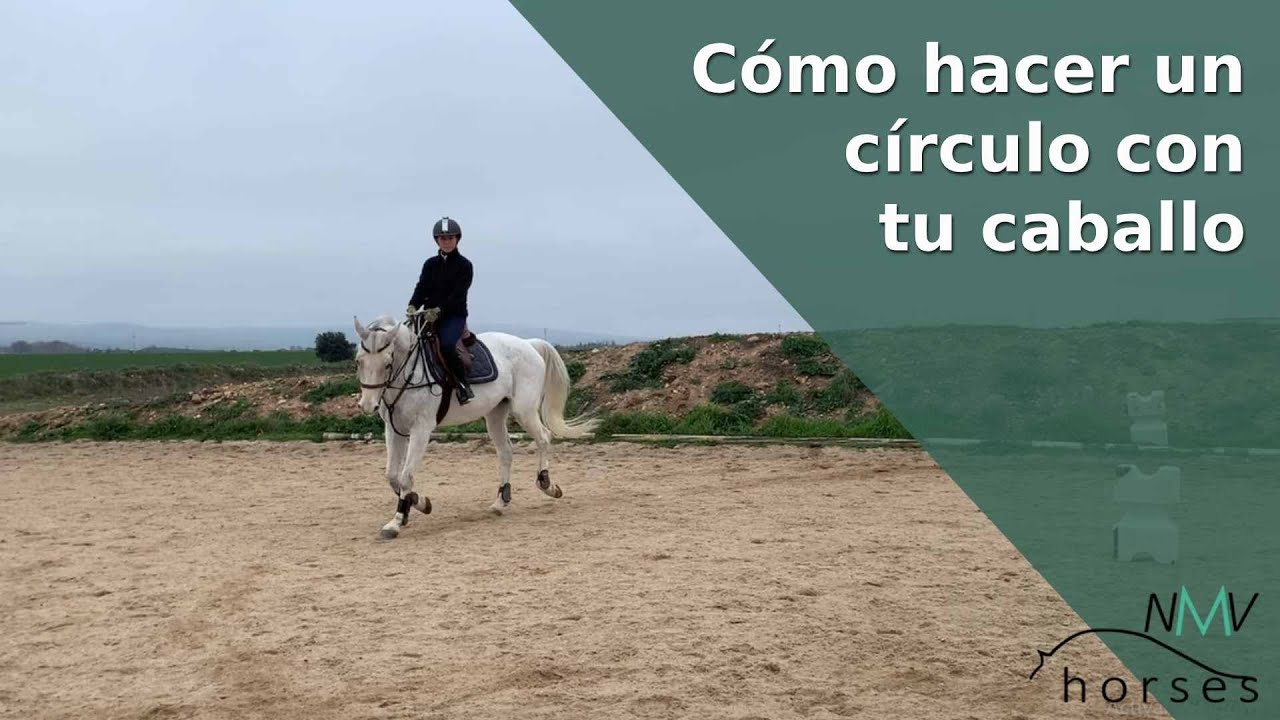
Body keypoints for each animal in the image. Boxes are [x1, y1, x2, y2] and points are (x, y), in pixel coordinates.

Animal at [352, 312, 599, 540]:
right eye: (358, 361)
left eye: (387, 363)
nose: (367, 405)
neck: (410, 373)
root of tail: (528, 344)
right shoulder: (393, 429)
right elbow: (392, 475)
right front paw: (418, 503)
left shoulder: (421, 429)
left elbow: (406, 476)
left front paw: (396, 522)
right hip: (496, 414)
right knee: (506, 452)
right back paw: (500, 501)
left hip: (524, 410)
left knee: (544, 438)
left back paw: (547, 485)